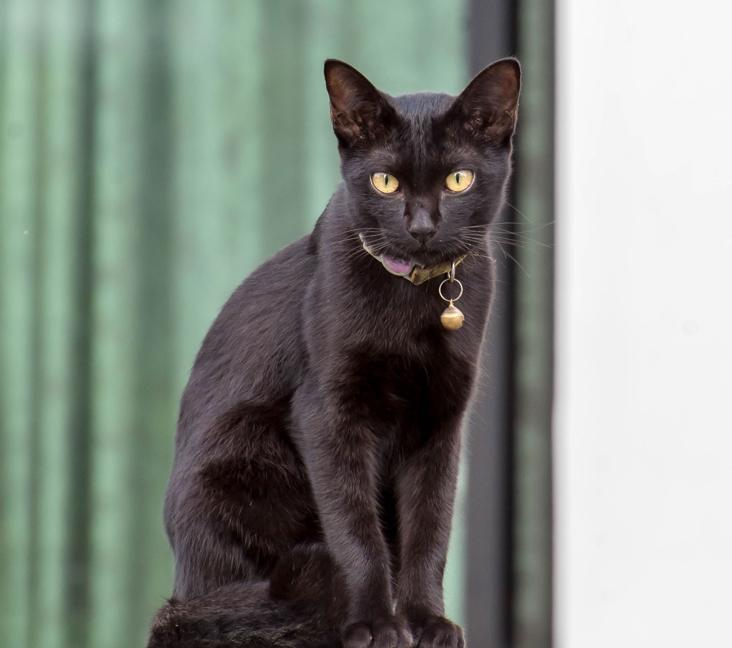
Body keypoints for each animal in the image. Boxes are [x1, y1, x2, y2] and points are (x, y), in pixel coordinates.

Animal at [146, 57, 516, 648]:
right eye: (385, 182)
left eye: (459, 179)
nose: (421, 226)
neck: (412, 304)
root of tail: (181, 591)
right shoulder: (327, 413)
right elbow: (354, 527)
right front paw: (375, 624)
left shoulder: (441, 421)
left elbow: (431, 527)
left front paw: (428, 622)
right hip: (247, 453)